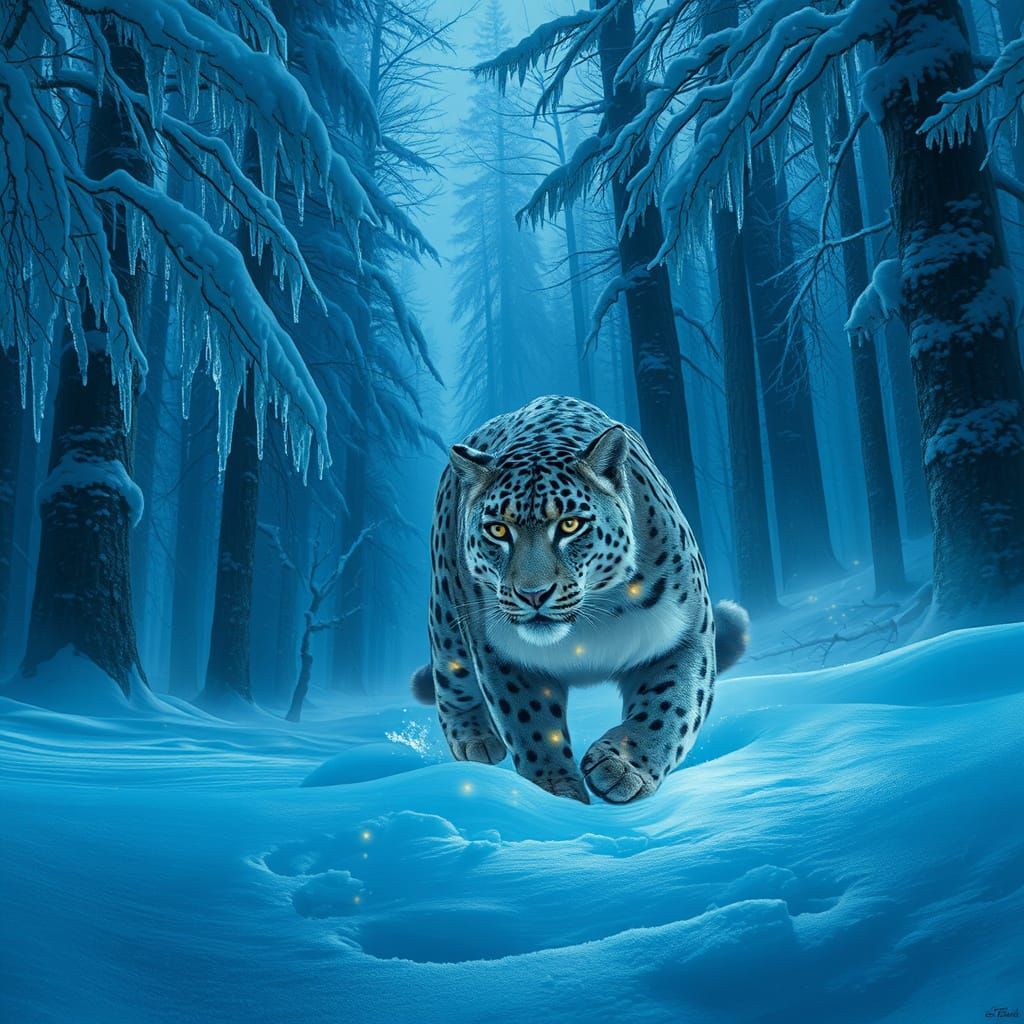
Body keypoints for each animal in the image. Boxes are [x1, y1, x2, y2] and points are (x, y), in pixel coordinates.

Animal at [412, 395, 749, 804]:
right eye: (498, 530)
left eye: (570, 525)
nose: (533, 593)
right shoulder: (501, 654)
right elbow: (530, 725)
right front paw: (557, 793)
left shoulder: (687, 632)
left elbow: (670, 705)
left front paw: (623, 768)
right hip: (446, 609)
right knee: (451, 674)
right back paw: (474, 741)